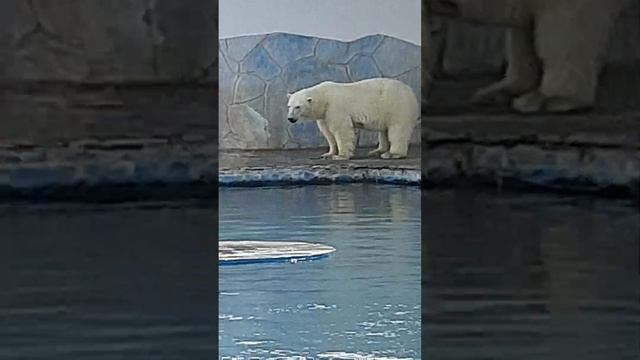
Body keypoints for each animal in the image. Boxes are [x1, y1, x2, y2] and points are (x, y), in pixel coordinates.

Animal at [286, 78, 420, 160]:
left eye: (298, 107)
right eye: (289, 106)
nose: (290, 118)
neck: (324, 98)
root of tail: (409, 91)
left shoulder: (335, 108)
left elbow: (341, 130)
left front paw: (340, 156)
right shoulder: (324, 115)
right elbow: (328, 133)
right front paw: (328, 154)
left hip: (396, 105)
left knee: (397, 129)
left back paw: (392, 154)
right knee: (384, 131)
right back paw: (377, 151)